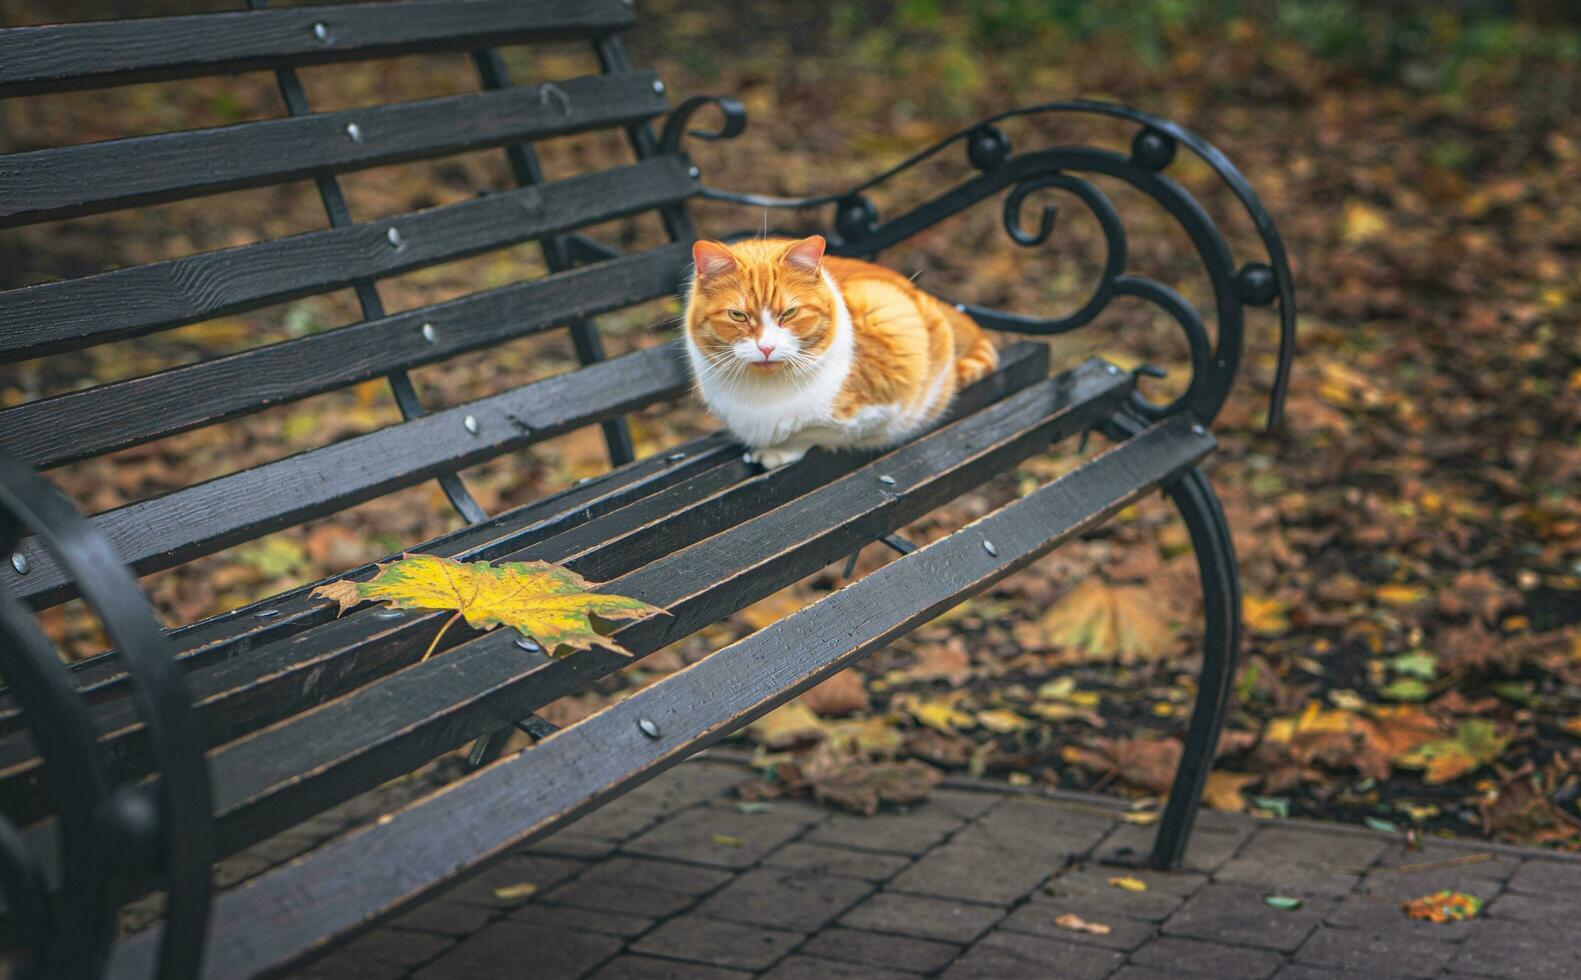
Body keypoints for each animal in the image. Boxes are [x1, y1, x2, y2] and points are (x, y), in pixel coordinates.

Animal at [682, 235, 999, 467]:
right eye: (737, 316)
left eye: (790, 312)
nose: (767, 347)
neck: (764, 395)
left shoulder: (887, 405)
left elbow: (812, 431)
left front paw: (779, 450)